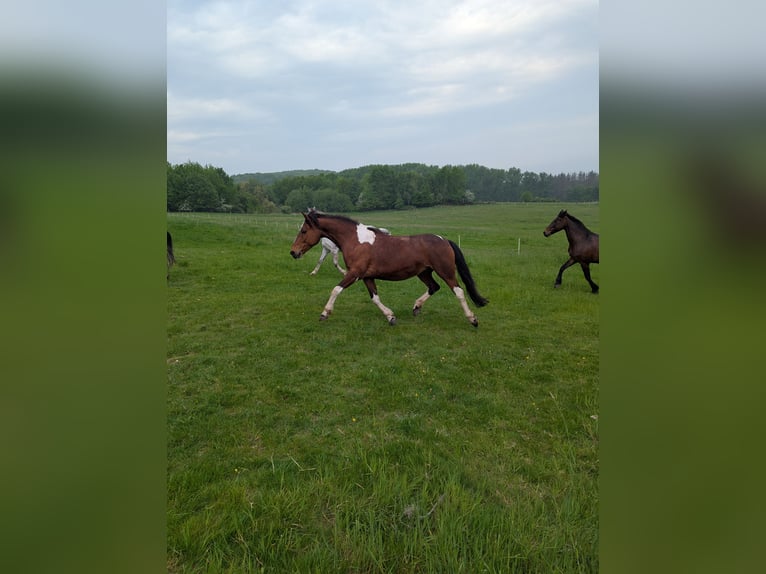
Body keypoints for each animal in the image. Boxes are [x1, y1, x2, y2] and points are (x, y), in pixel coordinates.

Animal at [290, 209, 488, 326]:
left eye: (304, 231)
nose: (293, 252)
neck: (355, 240)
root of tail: (444, 240)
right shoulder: (367, 277)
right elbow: (375, 298)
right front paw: (391, 316)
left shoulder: (354, 274)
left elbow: (336, 290)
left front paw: (325, 313)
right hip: (424, 272)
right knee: (434, 287)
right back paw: (416, 307)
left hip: (445, 272)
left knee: (459, 291)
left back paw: (472, 319)